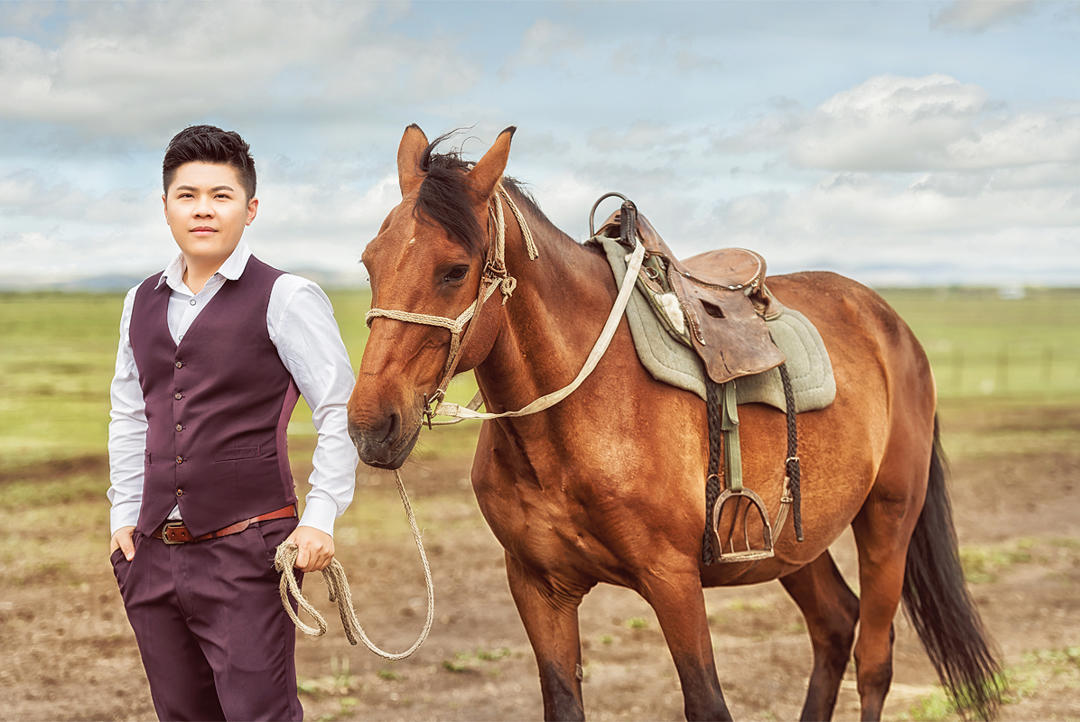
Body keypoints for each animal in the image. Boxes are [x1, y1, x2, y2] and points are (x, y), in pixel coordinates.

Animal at [347, 126, 1002, 716]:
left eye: (455, 270)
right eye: (369, 263)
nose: (370, 425)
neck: (573, 423)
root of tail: (891, 326)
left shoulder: (674, 581)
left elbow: (707, 702)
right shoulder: (538, 587)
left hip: (889, 519)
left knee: (873, 661)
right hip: (790, 543)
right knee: (835, 625)